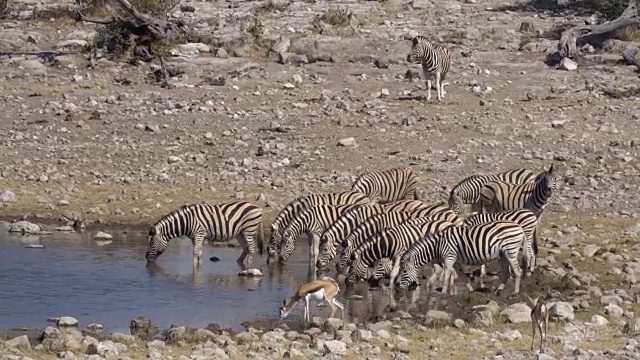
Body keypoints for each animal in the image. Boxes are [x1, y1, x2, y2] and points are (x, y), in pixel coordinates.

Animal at [396, 219, 524, 296]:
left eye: (404, 271)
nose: (398, 288)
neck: (437, 245)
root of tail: (519, 226)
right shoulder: (456, 260)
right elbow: (462, 275)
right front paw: (471, 290)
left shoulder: (449, 257)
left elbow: (447, 274)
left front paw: (443, 292)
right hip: (503, 254)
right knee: (506, 272)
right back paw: (498, 290)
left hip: (511, 250)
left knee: (518, 271)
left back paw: (516, 292)